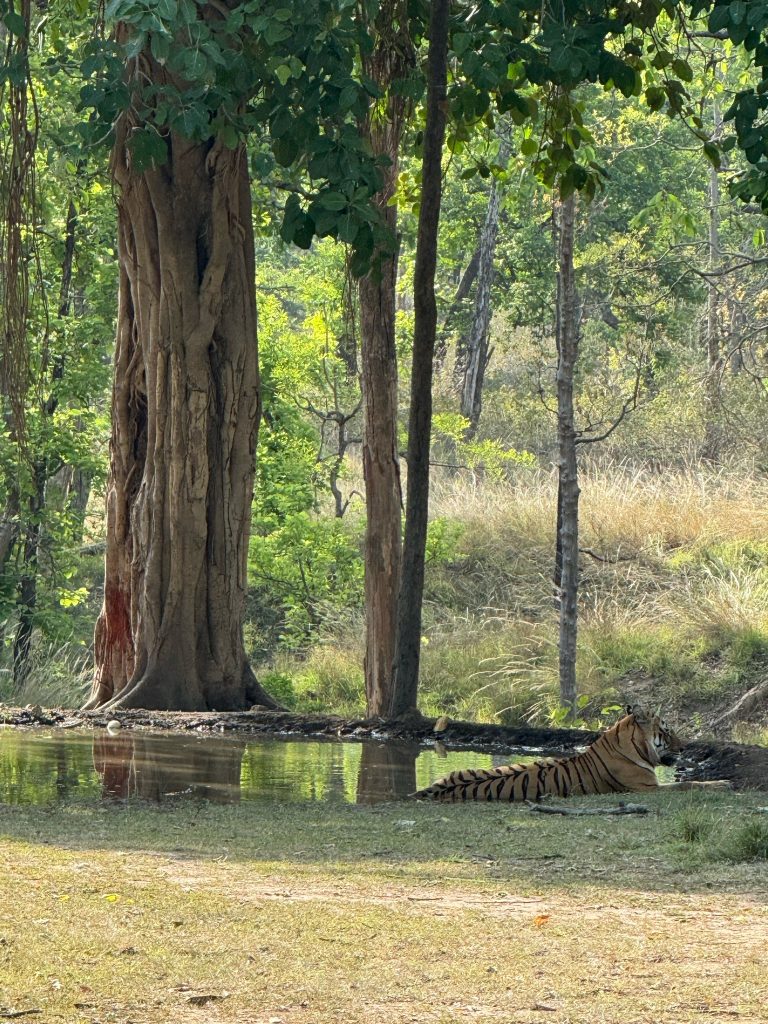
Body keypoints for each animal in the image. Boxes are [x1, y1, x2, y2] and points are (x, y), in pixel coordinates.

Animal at [411, 708, 729, 802]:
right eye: (666, 731)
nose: (684, 748)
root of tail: (431, 789)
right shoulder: (647, 789)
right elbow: (689, 784)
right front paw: (724, 784)